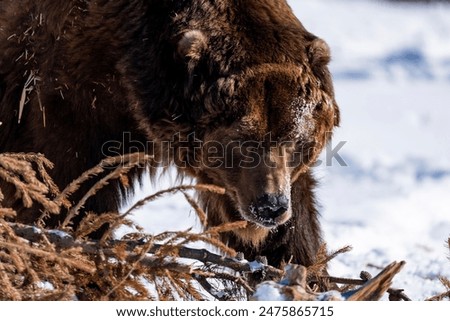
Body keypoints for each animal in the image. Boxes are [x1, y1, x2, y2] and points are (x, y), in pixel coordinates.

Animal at [0, 0, 338, 268]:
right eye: (242, 140)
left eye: (294, 138)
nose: (270, 206)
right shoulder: (74, 95)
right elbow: (69, 188)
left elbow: (296, 220)